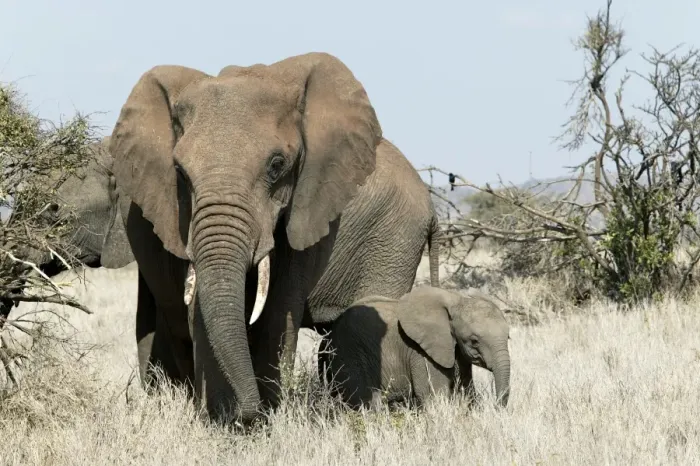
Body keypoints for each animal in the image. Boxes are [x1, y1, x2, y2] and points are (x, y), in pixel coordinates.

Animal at [109, 52, 440, 424]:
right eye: (179, 172)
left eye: (277, 165)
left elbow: (278, 309)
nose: (246, 411)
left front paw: (261, 420)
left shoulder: (308, 206)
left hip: (394, 239)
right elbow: (199, 309)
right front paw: (225, 421)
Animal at [317, 286, 511, 409]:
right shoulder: (420, 351)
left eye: (508, 337)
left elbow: (466, 390)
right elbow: (434, 395)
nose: (496, 407)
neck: (456, 300)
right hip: (348, 353)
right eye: (474, 341)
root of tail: (328, 336)